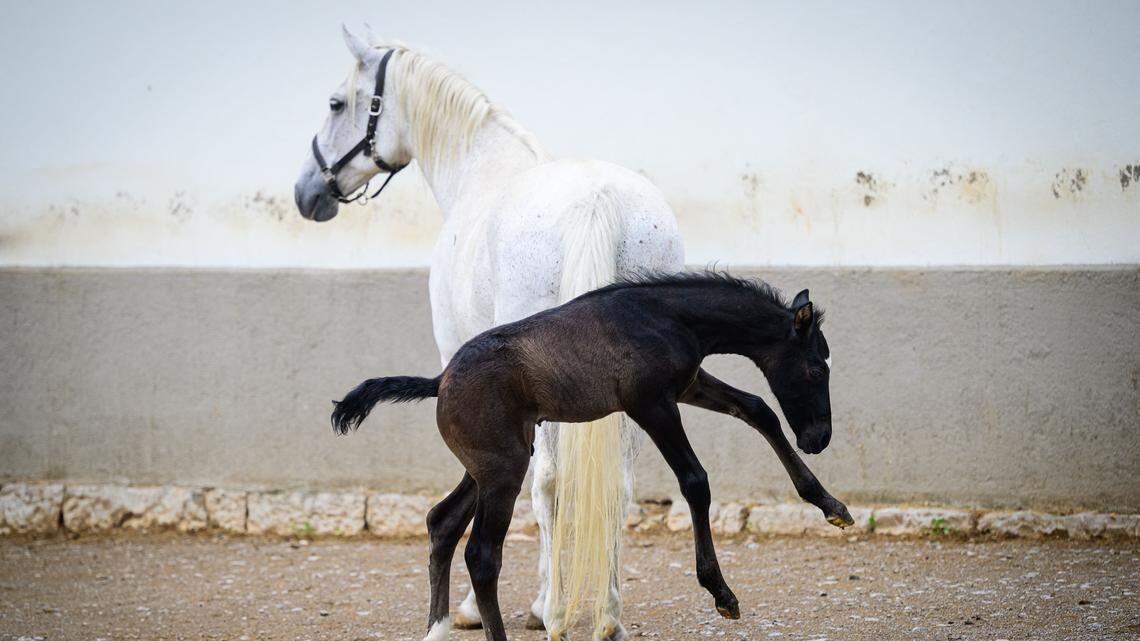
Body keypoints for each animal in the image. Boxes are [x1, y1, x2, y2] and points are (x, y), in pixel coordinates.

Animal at [293, 27, 685, 640]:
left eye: (336, 104)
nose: (308, 194)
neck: (481, 172)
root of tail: (598, 202)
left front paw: (488, 609)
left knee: (549, 482)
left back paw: (554, 611)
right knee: (617, 485)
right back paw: (608, 618)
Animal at [331, 273, 853, 641]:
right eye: (815, 368)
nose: (820, 437)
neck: (665, 316)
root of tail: (439, 381)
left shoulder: (687, 385)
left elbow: (758, 409)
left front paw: (832, 507)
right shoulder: (650, 403)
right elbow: (695, 480)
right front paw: (721, 593)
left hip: (487, 465)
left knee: (441, 522)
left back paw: (436, 629)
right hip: (504, 470)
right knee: (481, 553)